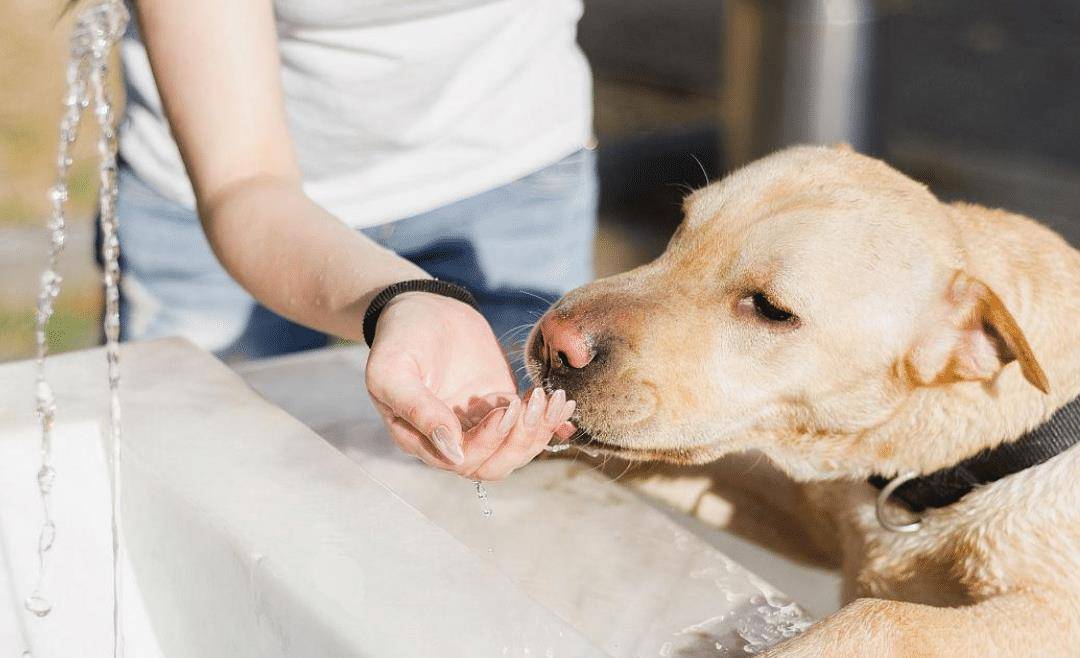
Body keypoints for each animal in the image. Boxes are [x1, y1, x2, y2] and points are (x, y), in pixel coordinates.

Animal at [524, 144, 1080, 656]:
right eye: (681, 228)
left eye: (772, 309)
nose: (554, 343)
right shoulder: (804, 509)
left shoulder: (1051, 616)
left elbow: (886, 617)